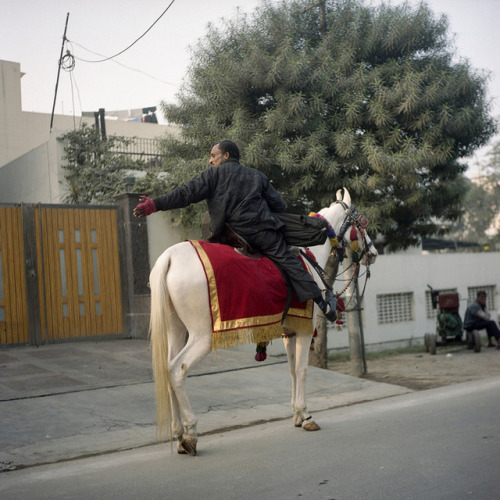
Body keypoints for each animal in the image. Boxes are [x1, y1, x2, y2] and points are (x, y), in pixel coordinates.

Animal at [150, 188, 376, 458]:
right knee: (177, 370)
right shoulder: (304, 330)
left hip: (175, 328)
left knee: (167, 367)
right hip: (202, 336)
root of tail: (169, 258)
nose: (373, 254)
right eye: (361, 223)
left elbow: (291, 370)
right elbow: (302, 370)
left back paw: (177, 433)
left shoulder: (290, 331)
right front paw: (306, 415)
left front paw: (297, 414)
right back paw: (190, 433)